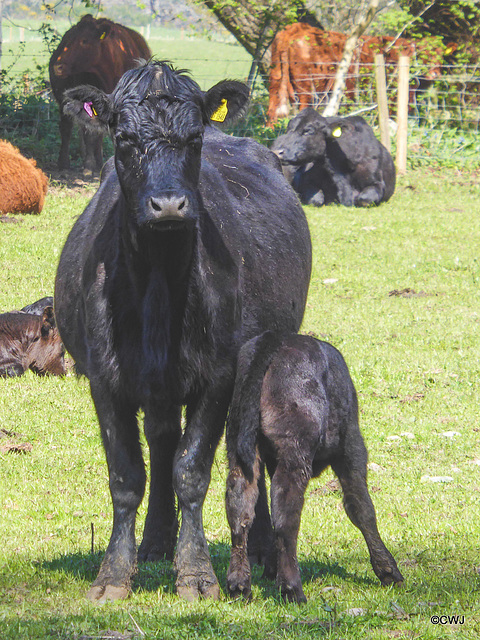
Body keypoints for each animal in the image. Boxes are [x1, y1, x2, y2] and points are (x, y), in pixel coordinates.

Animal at [48, 14, 150, 174]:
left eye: (84, 40)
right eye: (68, 40)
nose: (58, 66)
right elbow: (89, 134)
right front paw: (89, 165)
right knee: (67, 128)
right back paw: (66, 163)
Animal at [54, 60, 314, 604]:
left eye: (194, 139)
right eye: (124, 138)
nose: (169, 204)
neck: (159, 283)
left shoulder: (217, 375)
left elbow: (191, 472)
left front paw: (195, 575)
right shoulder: (105, 378)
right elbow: (127, 475)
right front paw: (114, 574)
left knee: (243, 448)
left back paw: (260, 551)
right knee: (161, 440)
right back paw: (155, 543)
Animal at [224, 332, 402, 604]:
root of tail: (274, 339)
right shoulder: (351, 447)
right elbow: (362, 507)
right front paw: (388, 571)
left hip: (239, 447)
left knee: (239, 511)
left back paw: (239, 586)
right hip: (295, 454)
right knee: (286, 517)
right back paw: (292, 590)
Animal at [268, 23, 456, 125]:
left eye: (441, 56)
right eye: (424, 54)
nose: (434, 74)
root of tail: (295, 28)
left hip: (276, 80)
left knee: (273, 111)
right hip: (307, 88)